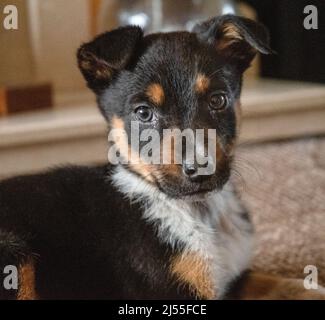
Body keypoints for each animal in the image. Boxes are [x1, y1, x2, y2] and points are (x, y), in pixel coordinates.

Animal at [0, 15, 324, 300]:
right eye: (143, 113)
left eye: (218, 100)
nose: (200, 169)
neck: (196, 211)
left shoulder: (231, 278)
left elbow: (273, 281)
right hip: (16, 253)